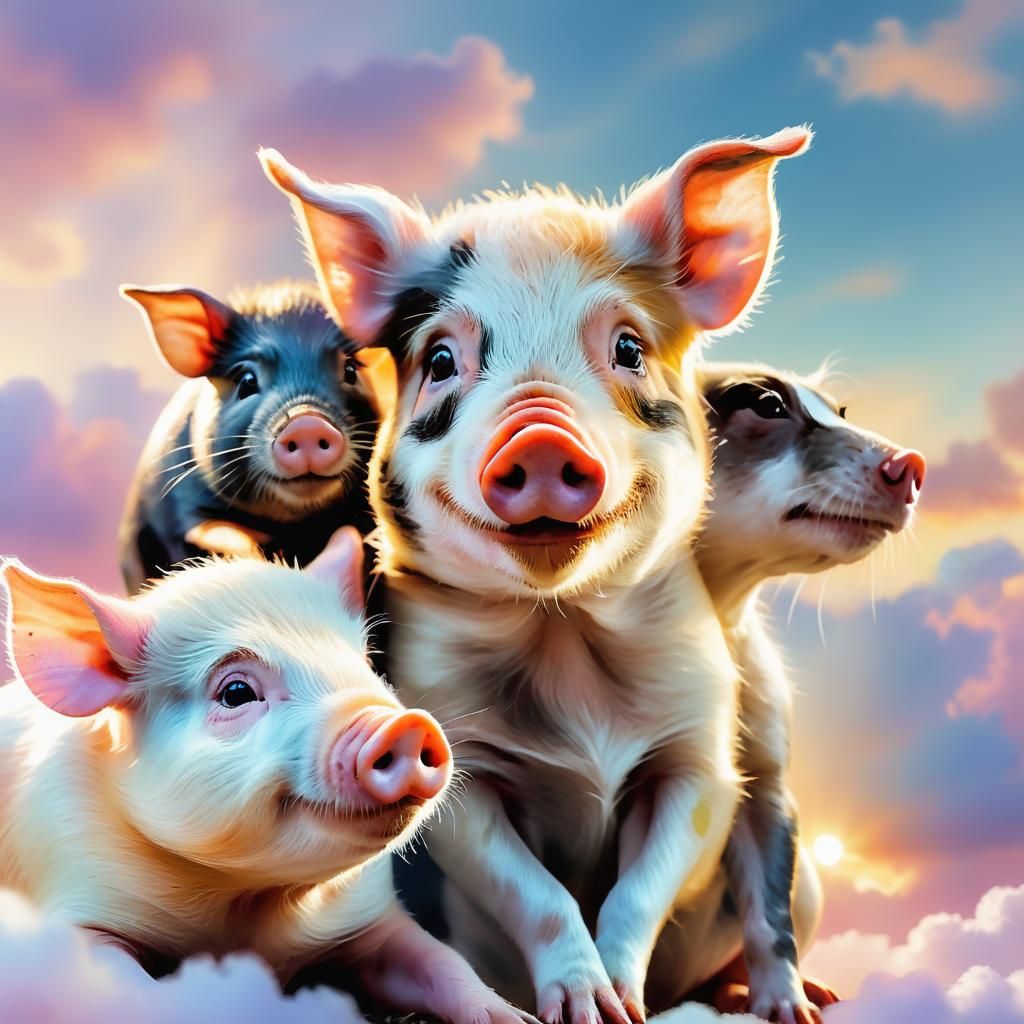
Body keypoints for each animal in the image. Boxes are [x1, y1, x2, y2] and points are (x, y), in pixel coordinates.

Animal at [0, 530, 534, 1024]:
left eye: (365, 666)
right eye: (236, 692)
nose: (407, 725)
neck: (248, 907)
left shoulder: (372, 916)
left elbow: (440, 960)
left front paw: (514, 1018)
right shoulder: (77, 890)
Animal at [118, 280, 389, 593]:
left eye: (350, 370)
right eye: (247, 380)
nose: (307, 422)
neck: (289, 528)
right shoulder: (181, 503)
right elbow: (210, 529)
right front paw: (250, 551)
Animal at [259, 126, 811, 1023]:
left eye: (628, 348)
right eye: (441, 358)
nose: (541, 438)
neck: (564, 630)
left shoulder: (697, 755)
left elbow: (636, 889)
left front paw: (621, 1009)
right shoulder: (457, 765)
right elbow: (539, 894)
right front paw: (584, 1010)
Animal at [689, 362, 925, 1021]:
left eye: (840, 410)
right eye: (767, 404)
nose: (910, 466)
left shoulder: (766, 778)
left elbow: (770, 909)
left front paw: (785, 1000)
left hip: (812, 887)